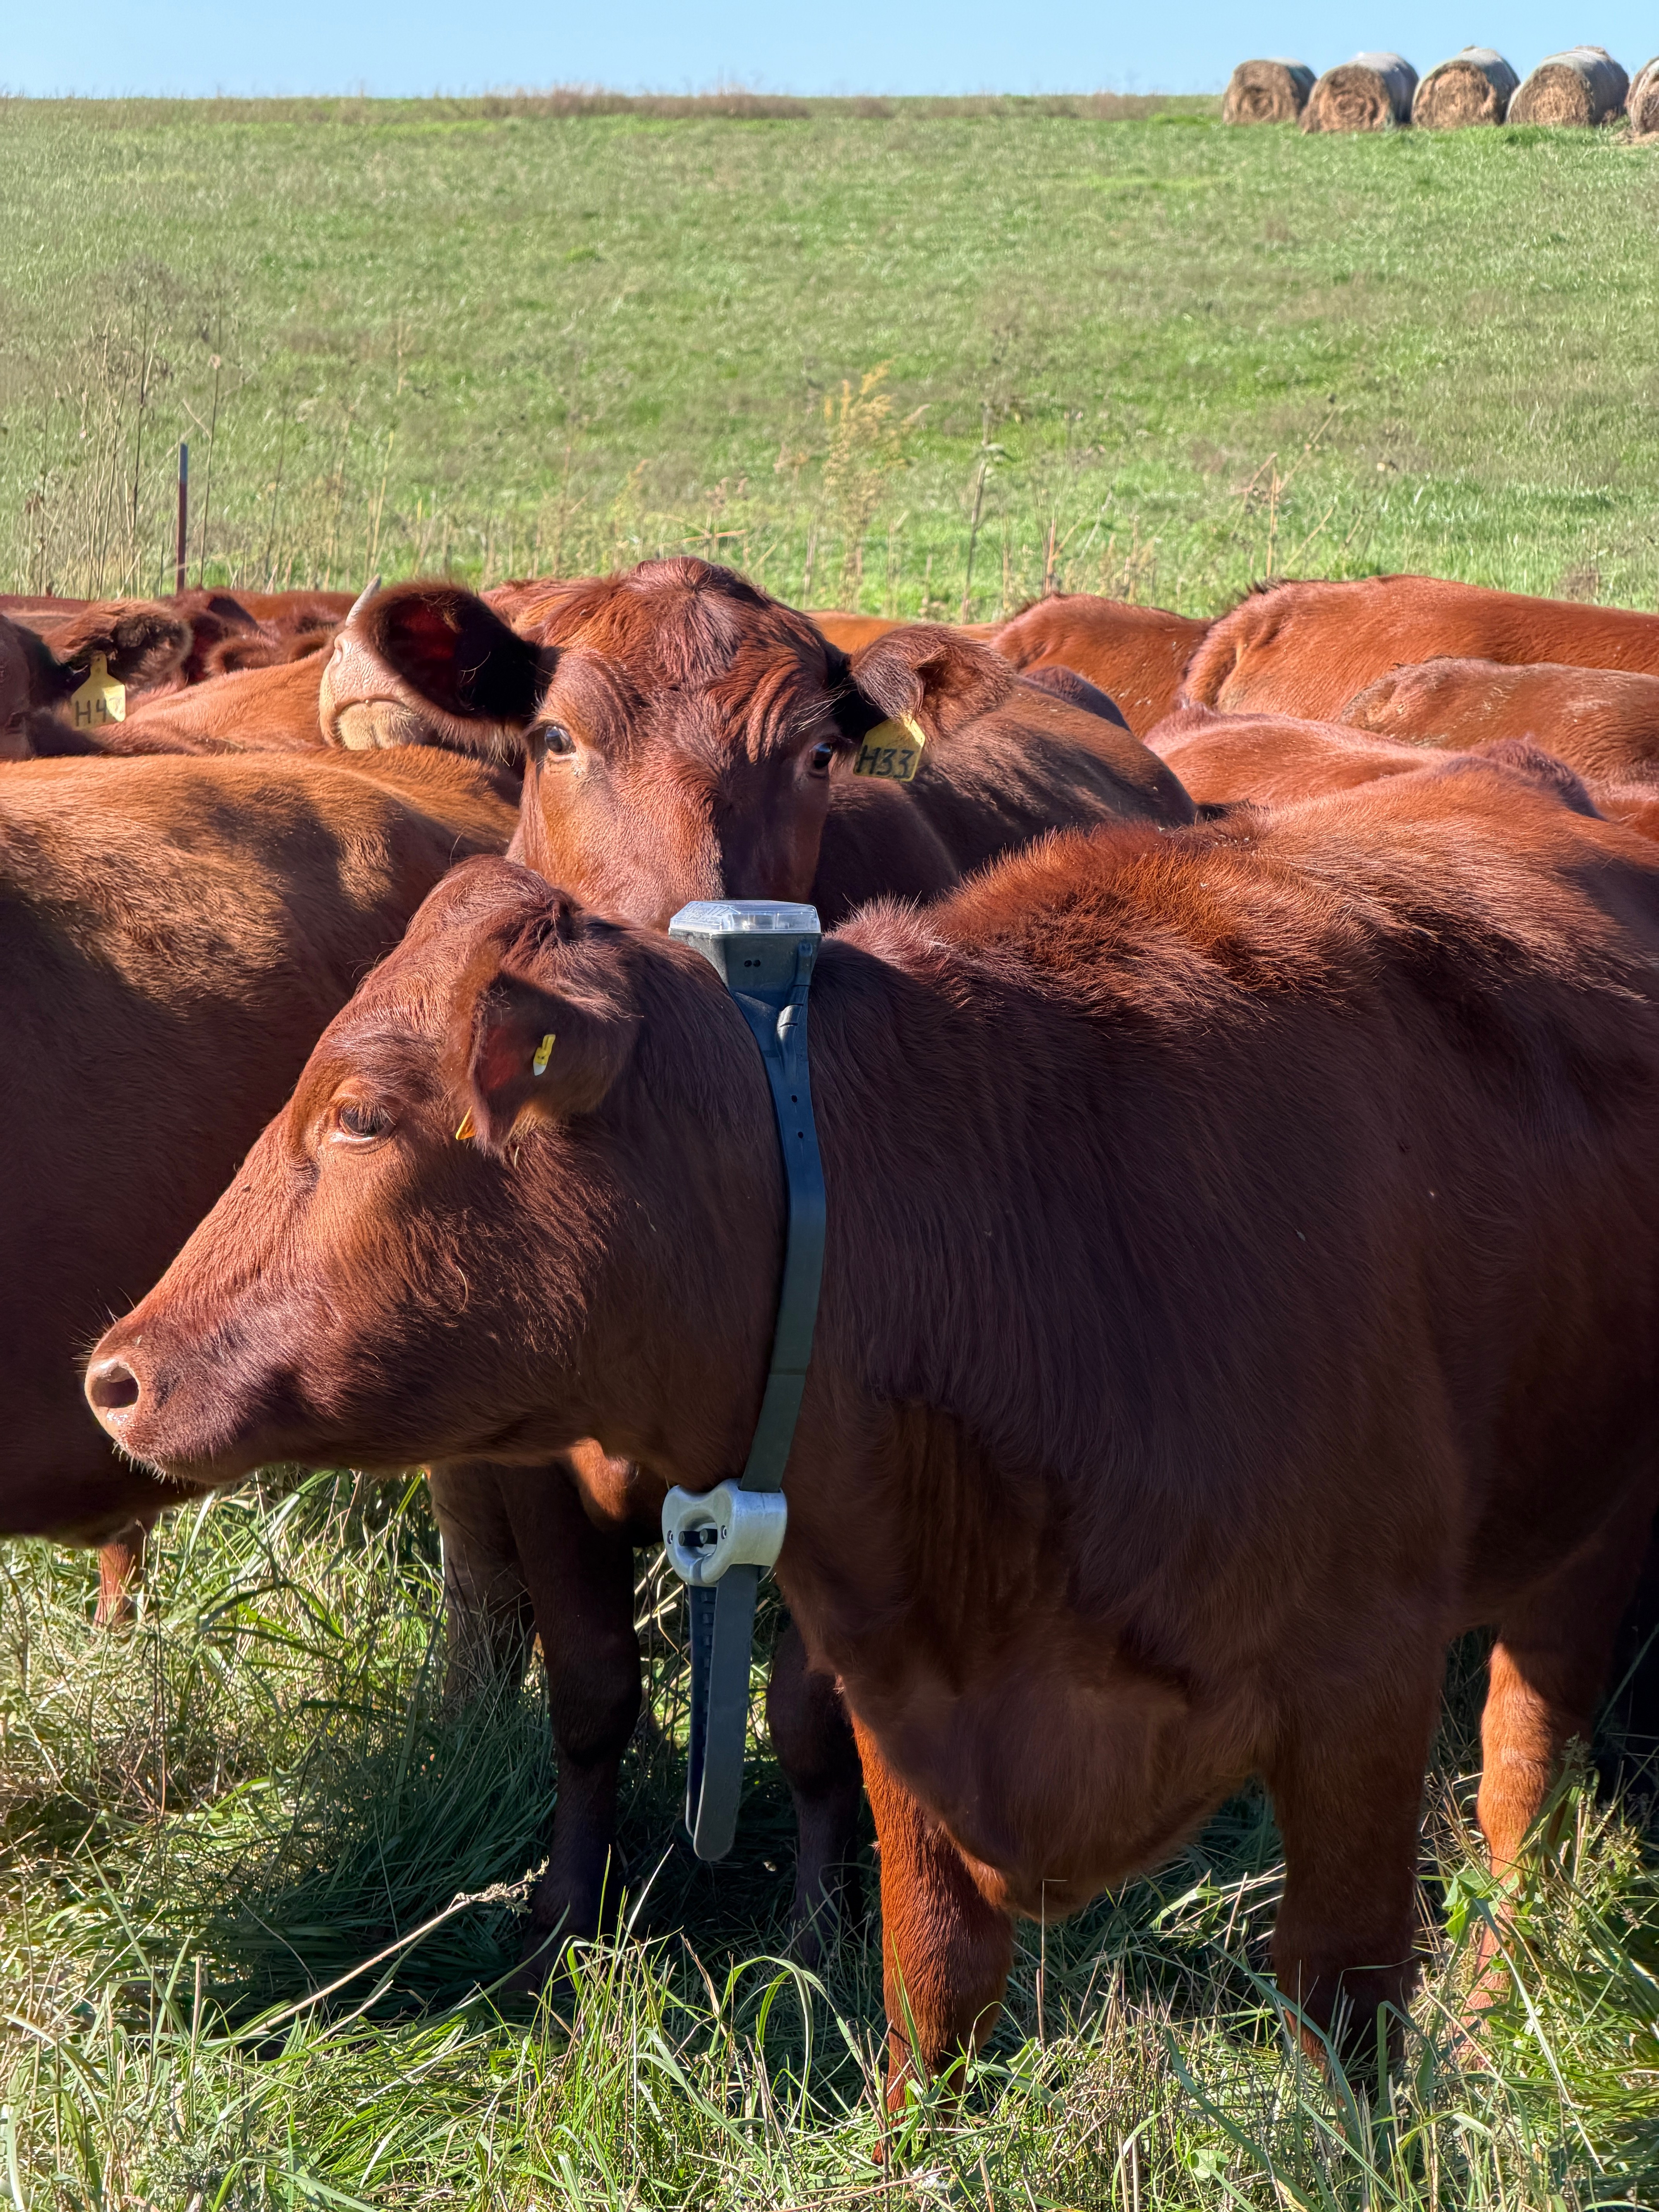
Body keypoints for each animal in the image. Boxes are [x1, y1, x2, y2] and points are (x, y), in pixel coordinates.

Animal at [85, 754, 1659, 2101]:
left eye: (360, 1115)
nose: (114, 1376)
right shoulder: (909, 1677)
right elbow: (933, 1983)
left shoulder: (1360, 1683)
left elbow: (1339, 2018)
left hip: (1585, 1536)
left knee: (1523, 1770)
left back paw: (1496, 1995)